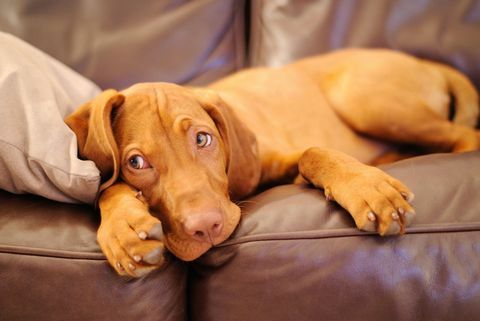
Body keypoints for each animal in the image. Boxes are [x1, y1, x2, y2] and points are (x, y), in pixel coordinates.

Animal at [64, 48, 480, 276]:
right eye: (136, 162)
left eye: (203, 138)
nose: (206, 227)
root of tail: (423, 61)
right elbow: (108, 187)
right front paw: (123, 230)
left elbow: (313, 151)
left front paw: (367, 187)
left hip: (362, 97)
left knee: (466, 137)